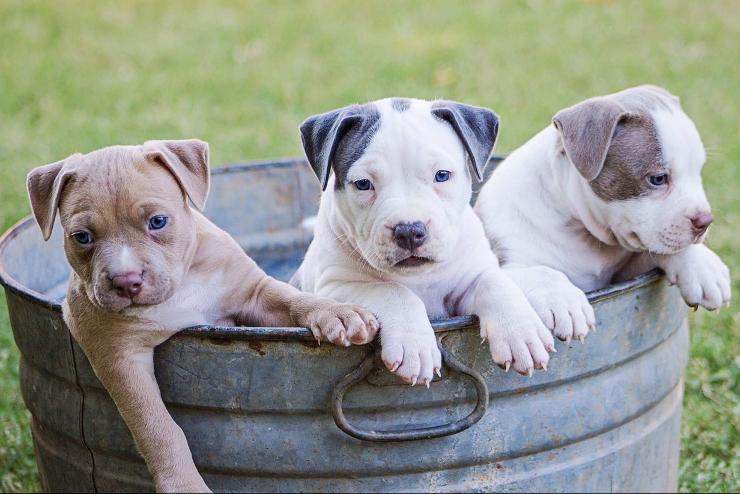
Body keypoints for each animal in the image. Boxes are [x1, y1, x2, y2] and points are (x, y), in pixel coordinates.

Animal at [26, 140, 378, 494]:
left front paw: (338, 313)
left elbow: (293, 300)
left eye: (158, 221)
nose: (126, 281)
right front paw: (184, 485)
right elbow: (157, 427)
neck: (181, 286)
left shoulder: (254, 294)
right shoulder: (118, 356)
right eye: (82, 237)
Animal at [292, 96, 552, 382]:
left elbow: (494, 283)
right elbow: (393, 291)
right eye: (363, 184)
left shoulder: (468, 280)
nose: (408, 230)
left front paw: (520, 331)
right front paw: (414, 346)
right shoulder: (334, 286)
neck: (418, 277)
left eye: (442, 175)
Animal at [476, 86, 732, 344]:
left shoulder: (626, 272)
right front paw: (564, 301)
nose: (705, 221)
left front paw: (703, 267)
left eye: (698, 171)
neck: (582, 231)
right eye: (658, 178)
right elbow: (541, 272)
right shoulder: (508, 262)